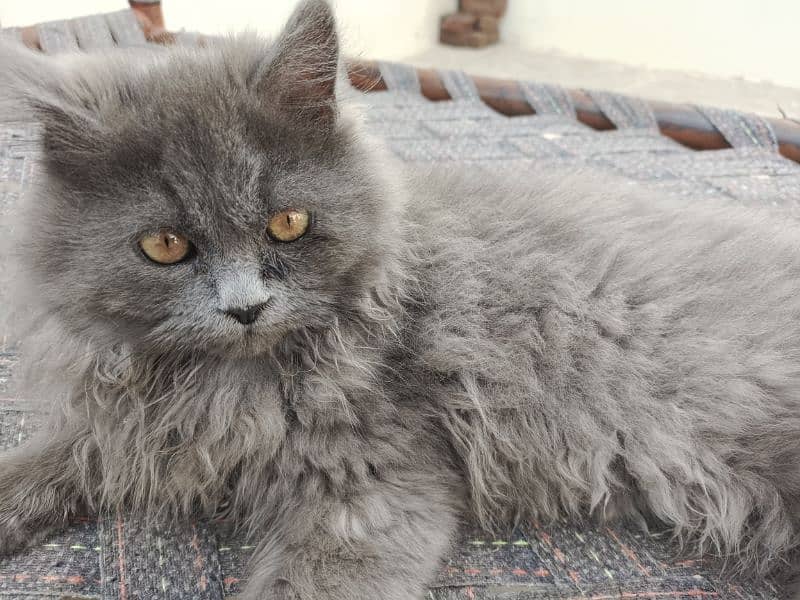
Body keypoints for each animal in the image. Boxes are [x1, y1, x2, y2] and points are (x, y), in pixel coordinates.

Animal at [4, 1, 800, 596]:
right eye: (165, 246)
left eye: (287, 224)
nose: (245, 308)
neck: (227, 385)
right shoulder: (128, 424)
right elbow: (51, 456)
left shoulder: (376, 483)